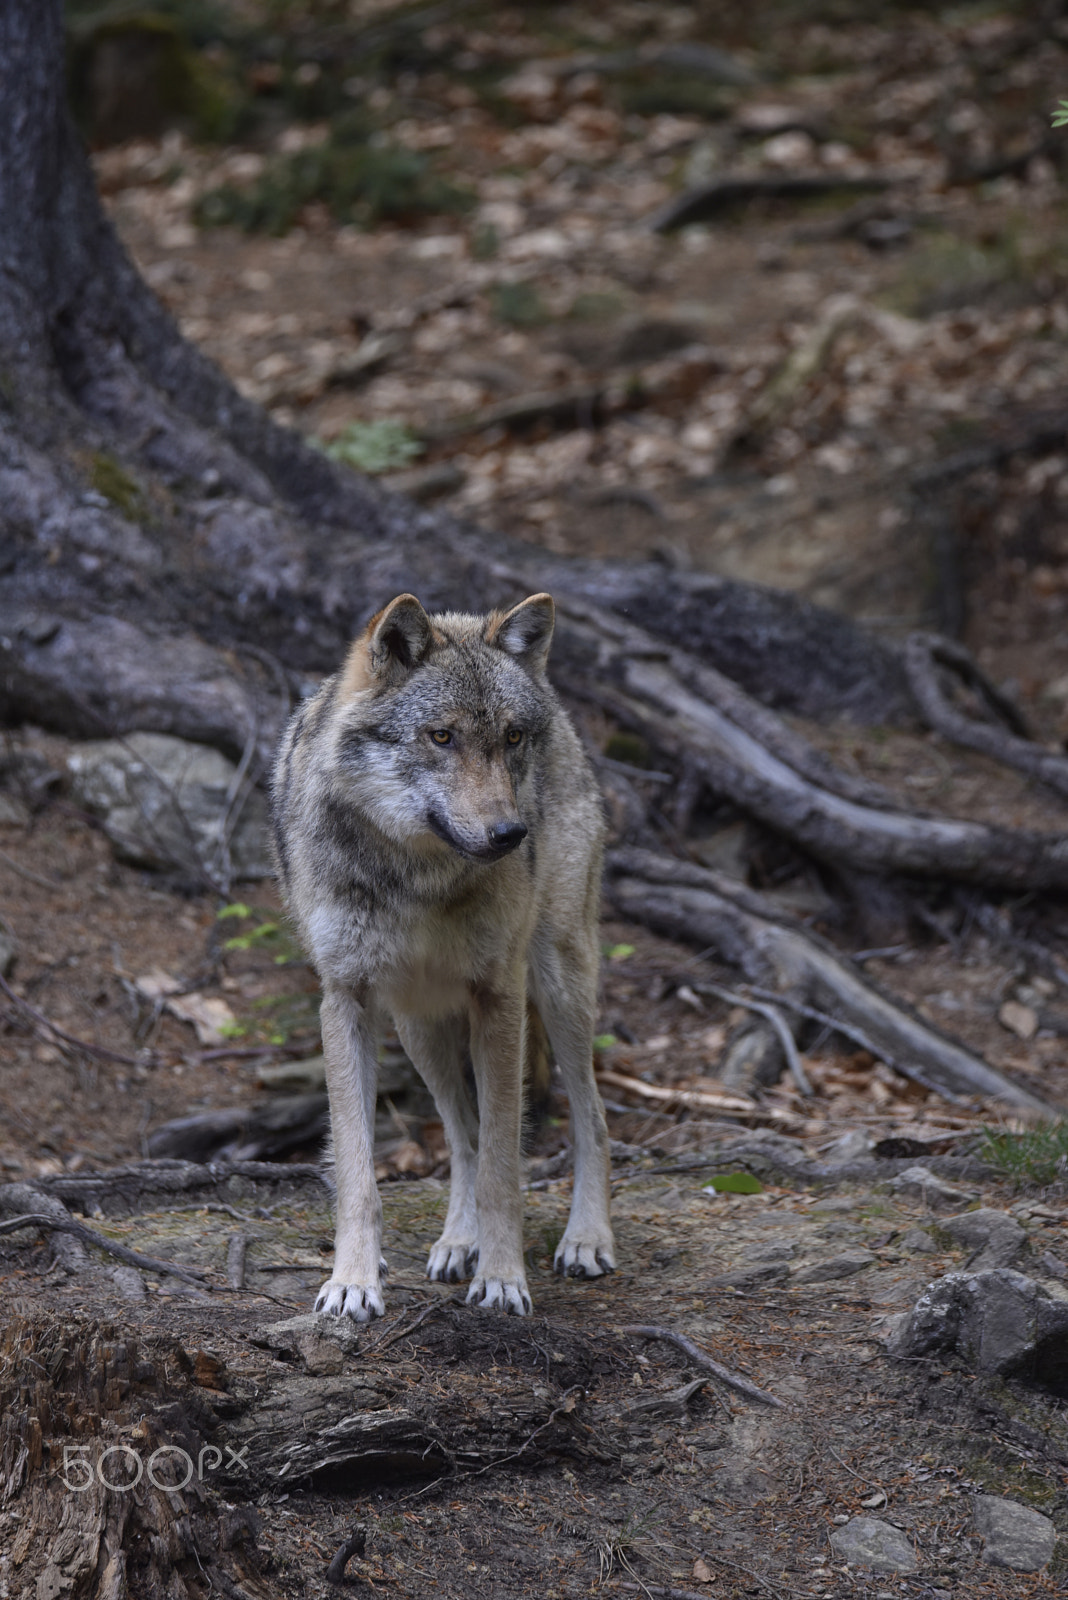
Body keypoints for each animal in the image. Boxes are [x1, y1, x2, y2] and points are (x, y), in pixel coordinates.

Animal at [271, 591, 615, 1319]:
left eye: (511, 738)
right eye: (442, 737)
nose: (512, 834)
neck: (417, 877)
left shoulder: (500, 995)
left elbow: (504, 1169)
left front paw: (504, 1276)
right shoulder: (344, 999)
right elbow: (359, 1173)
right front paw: (352, 1281)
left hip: (559, 986)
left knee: (591, 1117)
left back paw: (586, 1239)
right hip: (418, 1025)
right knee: (461, 1134)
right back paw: (459, 1241)